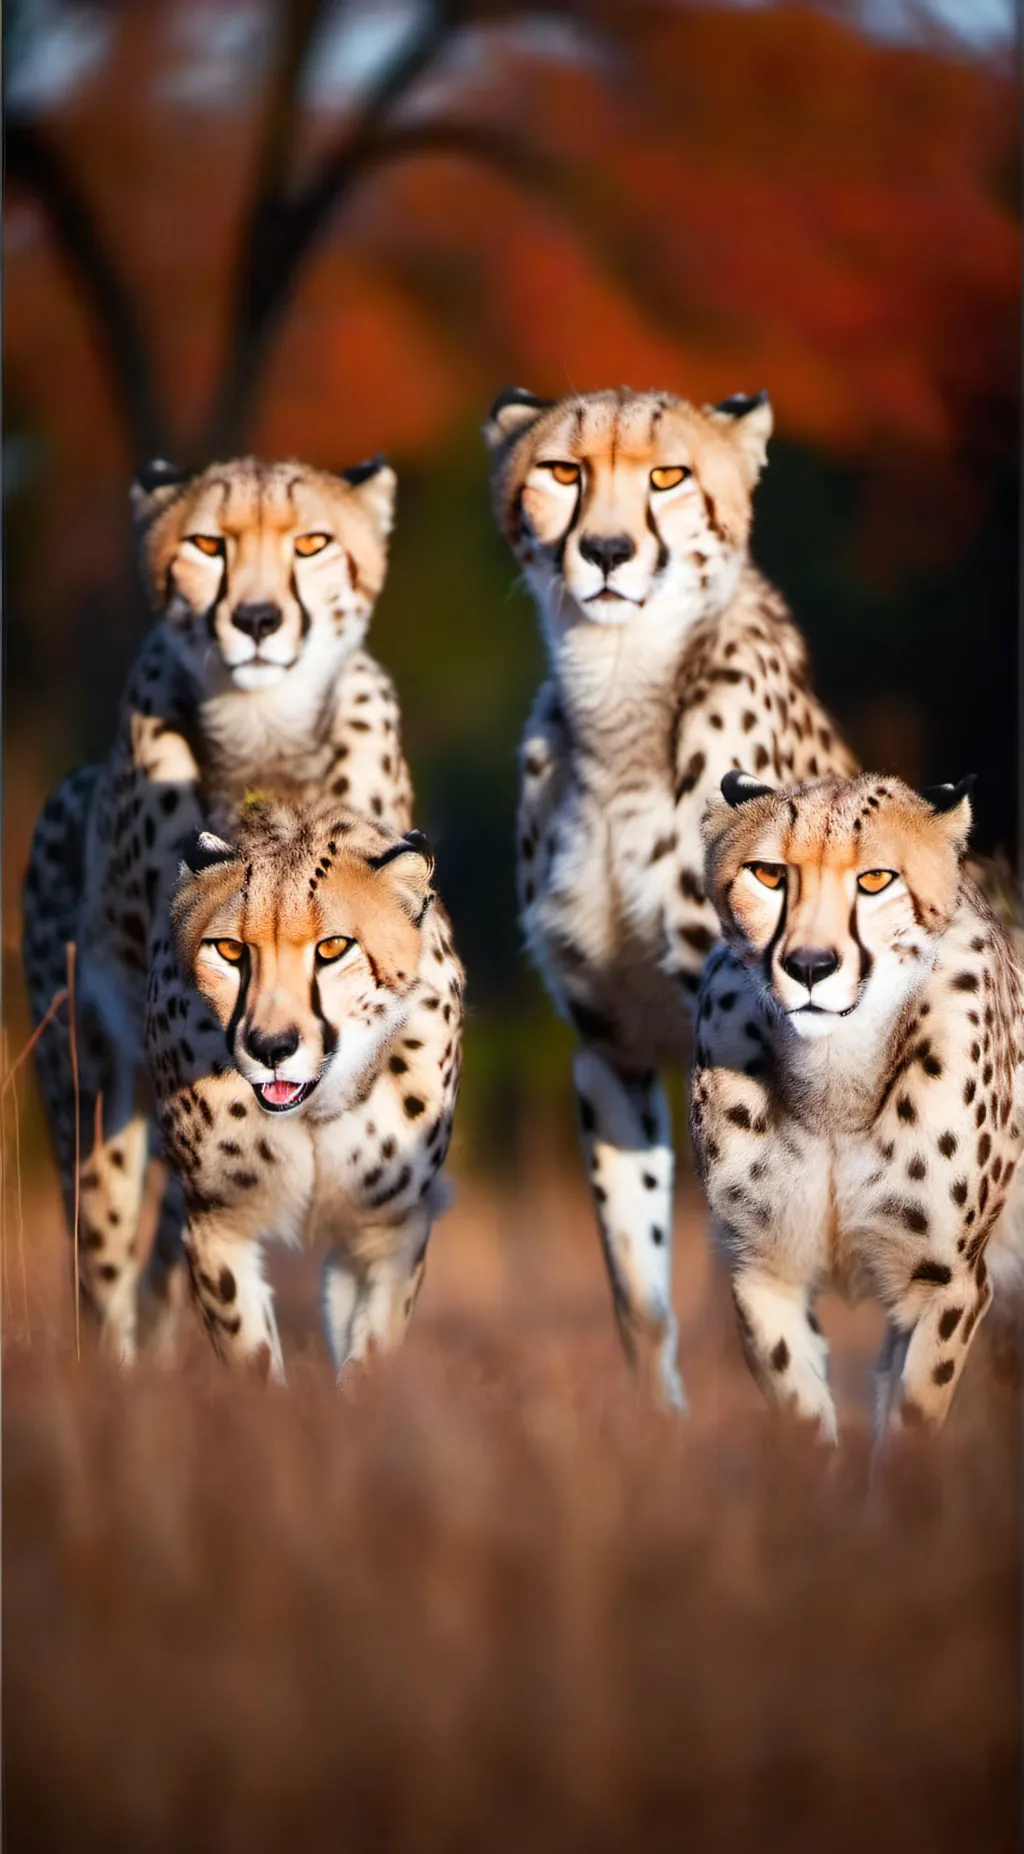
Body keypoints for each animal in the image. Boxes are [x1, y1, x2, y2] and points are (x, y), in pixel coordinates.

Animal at [144, 799, 462, 1380]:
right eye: (230, 950)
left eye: (333, 947)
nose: (271, 1047)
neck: (315, 1111)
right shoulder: (216, 1222)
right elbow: (250, 1357)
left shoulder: (389, 1228)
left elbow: (371, 1354)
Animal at [484, 383, 857, 1407]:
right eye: (562, 470)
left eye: (668, 475)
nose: (607, 552)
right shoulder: (607, 1047)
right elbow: (638, 1292)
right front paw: (658, 1425)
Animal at [690, 768, 1024, 1440]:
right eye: (769, 875)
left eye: (875, 880)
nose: (810, 966)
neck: (835, 1087)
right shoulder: (763, 1271)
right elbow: (801, 1419)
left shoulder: (946, 1285)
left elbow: (911, 1427)